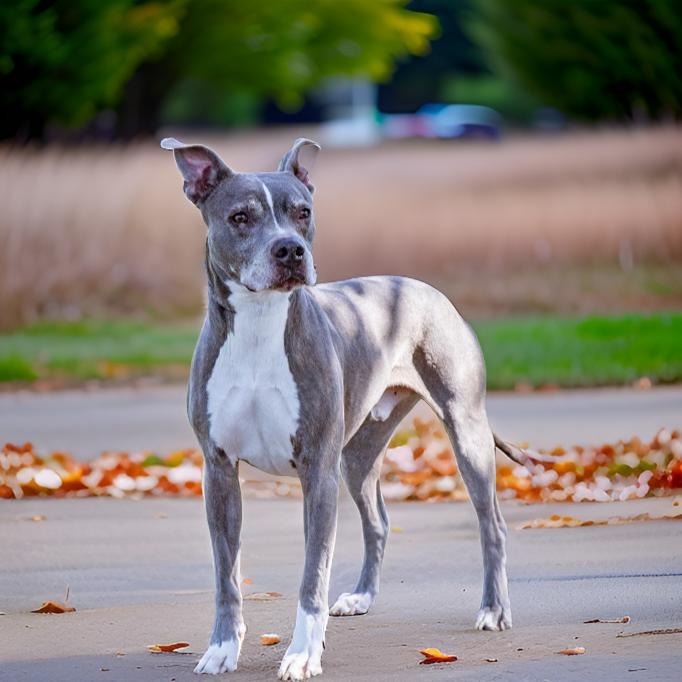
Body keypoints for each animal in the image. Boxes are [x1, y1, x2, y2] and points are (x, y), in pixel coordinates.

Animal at [159, 135, 510, 676]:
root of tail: (422, 287)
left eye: (302, 212)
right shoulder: (218, 471)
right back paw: (362, 596)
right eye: (240, 217)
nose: (290, 249)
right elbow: (227, 575)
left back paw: (493, 610)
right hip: (358, 455)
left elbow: (312, 576)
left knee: (490, 521)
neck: (260, 326)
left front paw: (303, 654)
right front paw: (221, 648)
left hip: (465, 430)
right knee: (378, 520)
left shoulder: (317, 471)